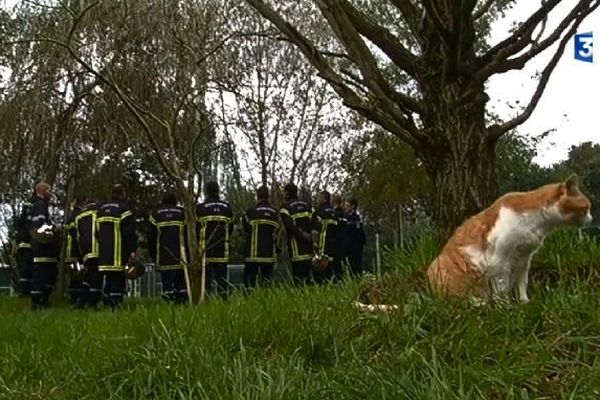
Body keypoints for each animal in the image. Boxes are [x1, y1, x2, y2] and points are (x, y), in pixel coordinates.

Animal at [426, 174, 592, 304]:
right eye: (586, 208)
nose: (591, 219)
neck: (537, 224)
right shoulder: (500, 262)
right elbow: (502, 289)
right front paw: (506, 308)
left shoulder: (524, 259)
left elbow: (522, 283)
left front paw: (524, 302)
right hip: (444, 270)